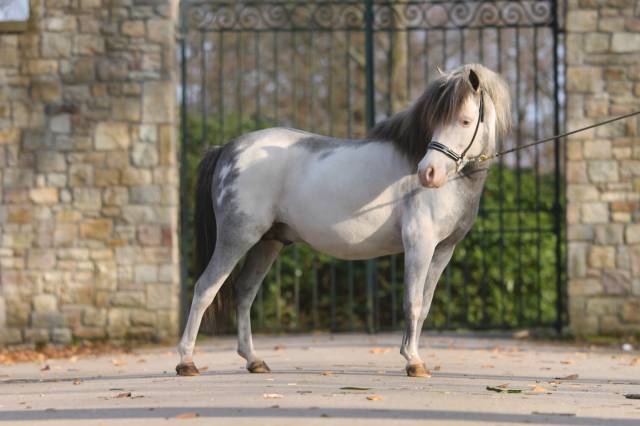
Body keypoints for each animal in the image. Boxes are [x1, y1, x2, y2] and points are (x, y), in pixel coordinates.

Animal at [176, 63, 511, 378]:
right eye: (433, 122)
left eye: (465, 120)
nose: (427, 173)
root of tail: (227, 149)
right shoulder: (419, 244)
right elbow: (413, 302)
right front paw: (413, 361)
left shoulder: (443, 250)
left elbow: (425, 304)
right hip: (237, 238)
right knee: (205, 288)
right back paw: (186, 361)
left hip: (268, 242)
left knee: (244, 292)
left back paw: (253, 360)